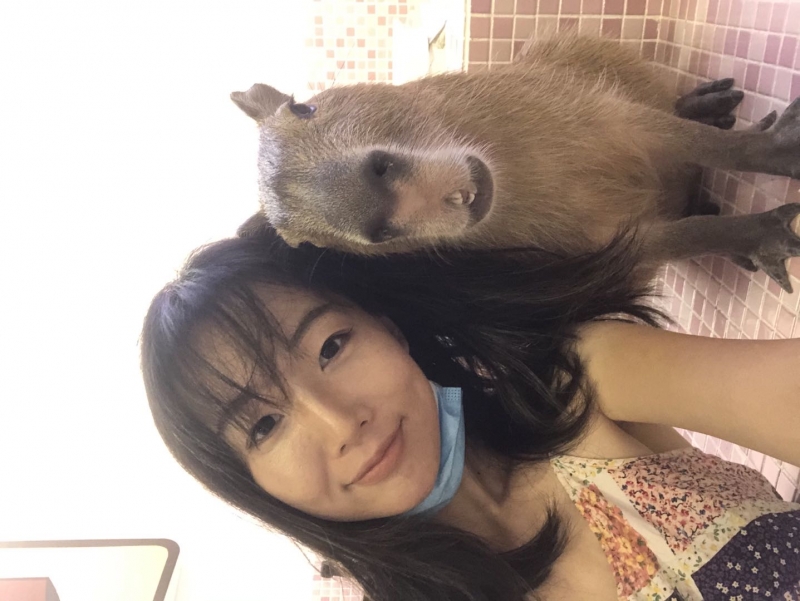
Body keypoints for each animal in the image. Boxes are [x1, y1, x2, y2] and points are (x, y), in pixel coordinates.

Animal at [231, 32, 800, 291]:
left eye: (304, 107)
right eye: (305, 244)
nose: (378, 213)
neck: (513, 178)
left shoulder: (614, 118)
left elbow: (703, 143)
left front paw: (779, 145)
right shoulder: (612, 248)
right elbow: (690, 236)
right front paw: (769, 237)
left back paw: (712, 104)